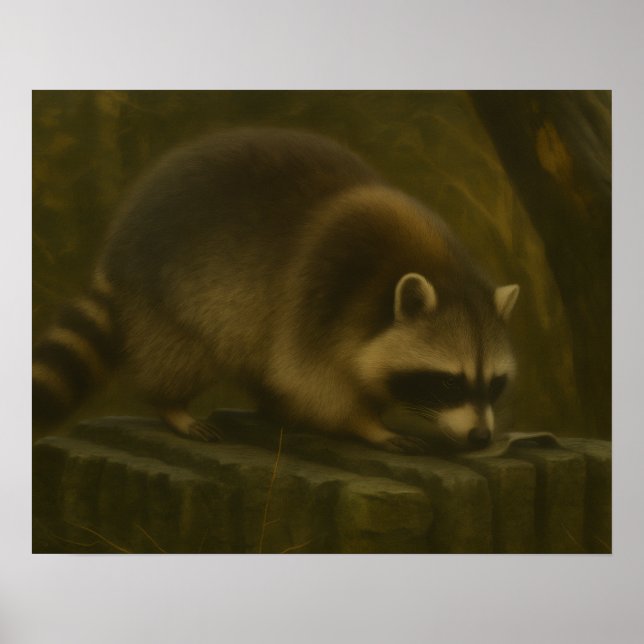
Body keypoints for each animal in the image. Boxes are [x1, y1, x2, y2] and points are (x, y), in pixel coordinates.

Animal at [33, 127, 519, 454]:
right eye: (449, 382)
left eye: (494, 384)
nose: (481, 437)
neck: (438, 267)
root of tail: (118, 241)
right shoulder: (321, 293)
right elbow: (310, 378)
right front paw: (367, 424)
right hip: (172, 290)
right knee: (182, 351)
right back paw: (172, 405)